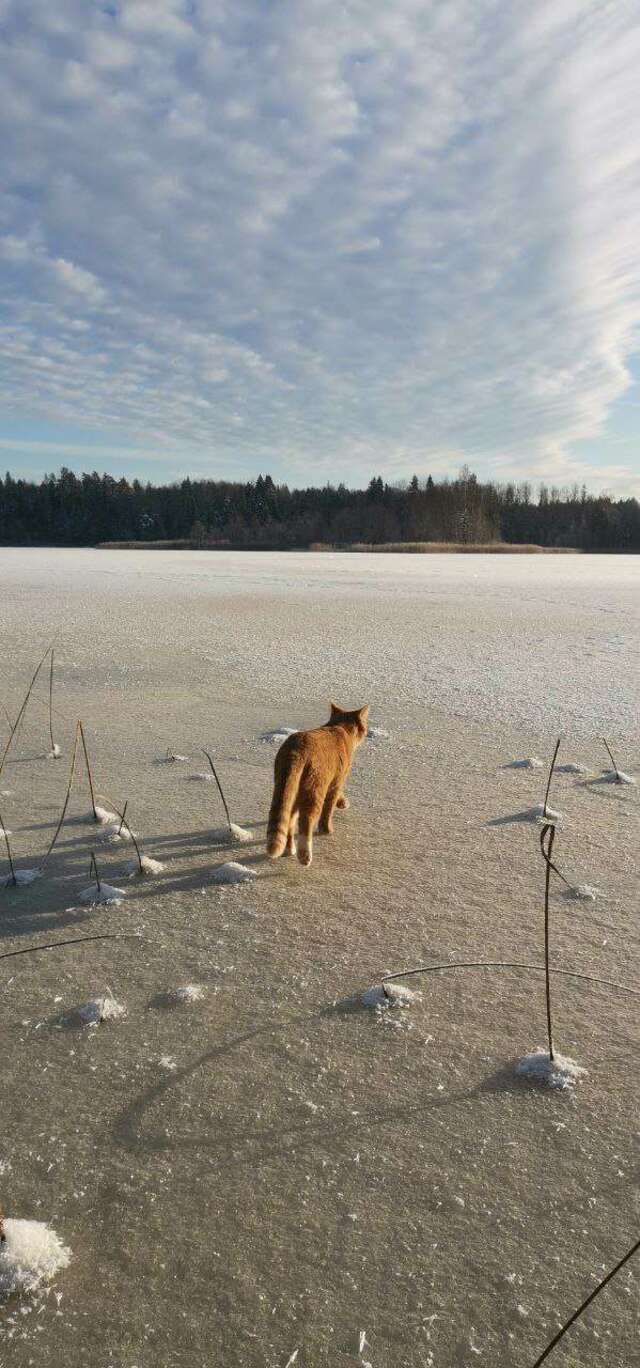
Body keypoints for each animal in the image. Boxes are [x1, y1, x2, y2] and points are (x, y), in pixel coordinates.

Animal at [266, 705, 366, 864]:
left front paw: (342, 802)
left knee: (289, 819)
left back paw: (289, 849)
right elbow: (329, 808)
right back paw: (305, 855)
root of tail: (296, 751)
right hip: (314, 787)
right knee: (306, 820)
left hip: (290, 787)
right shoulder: (337, 780)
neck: (339, 727)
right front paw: (327, 829)